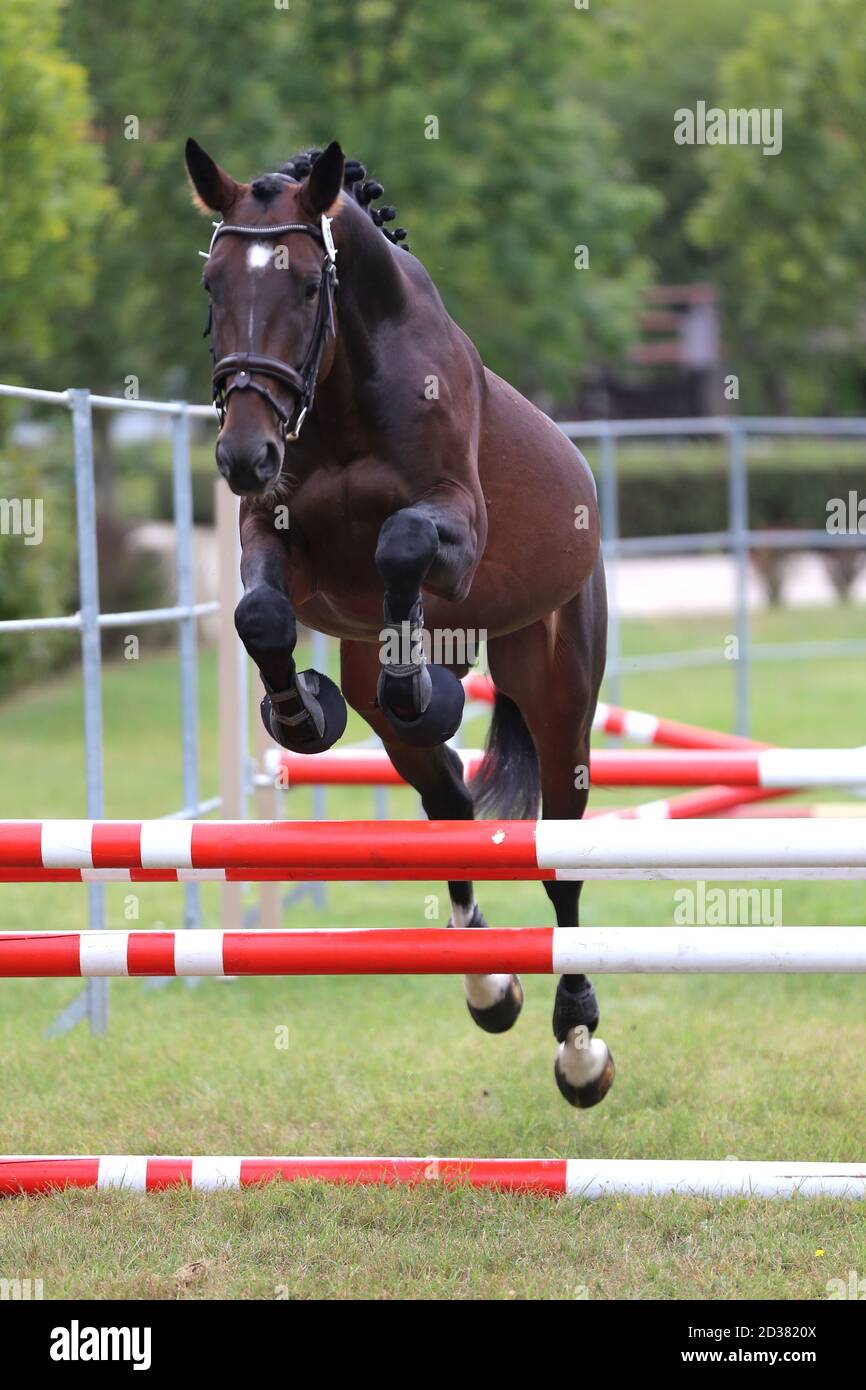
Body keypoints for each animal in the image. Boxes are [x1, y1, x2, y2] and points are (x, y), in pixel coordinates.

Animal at [186, 137, 613, 1108]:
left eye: (310, 286)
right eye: (212, 285)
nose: (242, 454)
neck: (344, 388)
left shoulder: (453, 524)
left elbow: (402, 544)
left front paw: (413, 675)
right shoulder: (271, 533)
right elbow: (261, 612)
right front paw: (299, 712)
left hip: (558, 685)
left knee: (560, 851)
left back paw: (579, 1045)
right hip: (397, 719)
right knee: (445, 794)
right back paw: (488, 984)